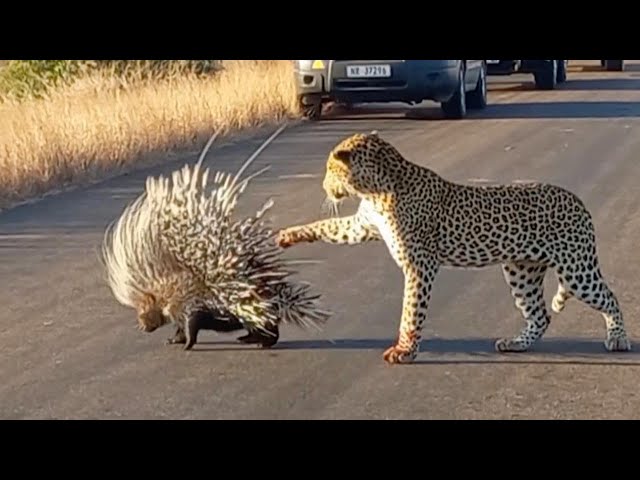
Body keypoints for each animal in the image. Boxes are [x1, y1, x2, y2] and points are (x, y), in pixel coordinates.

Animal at [274, 131, 632, 364]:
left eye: (329, 169)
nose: (324, 186)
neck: (374, 189)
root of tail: (578, 201)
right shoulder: (362, 226)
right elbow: (325, 227)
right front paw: (286, 235)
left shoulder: (419, 265)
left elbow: (411, 310)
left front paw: (405, 350)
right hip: (522, 271)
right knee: (540, 315)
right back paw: (517, 343)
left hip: (575, 269)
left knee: (609, 298)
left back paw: (618, 338)